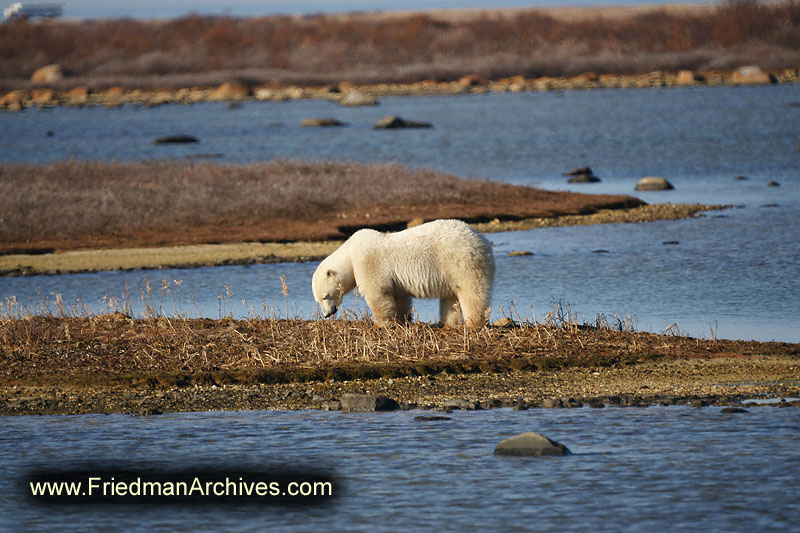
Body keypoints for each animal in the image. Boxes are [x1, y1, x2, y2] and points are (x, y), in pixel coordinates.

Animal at [312, 218, 494, 326]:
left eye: (325, 296)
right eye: (318, 300)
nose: (327, 314)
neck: (349, 252)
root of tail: (483, 241)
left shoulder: (368, 262)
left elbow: (377, 292)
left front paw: (381, 324)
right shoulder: (395, 279)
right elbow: (399, 297)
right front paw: (402, 319)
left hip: (461, 261)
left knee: (471, 292)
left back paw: (473, 323)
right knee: (451, 298)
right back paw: (447, 323)